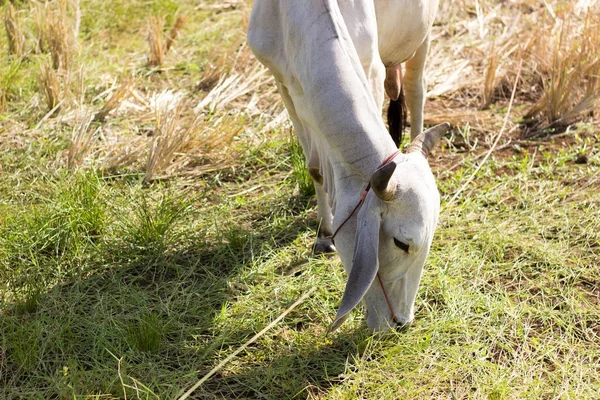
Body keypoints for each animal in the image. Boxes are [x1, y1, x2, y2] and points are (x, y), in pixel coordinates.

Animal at [246, 0, 448, 332]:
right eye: (401, 243)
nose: (402, 323)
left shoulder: (371, 69)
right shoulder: (283, 83)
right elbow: (314, 169)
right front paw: (324, 234)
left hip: (423, 35)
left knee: (415, 88)